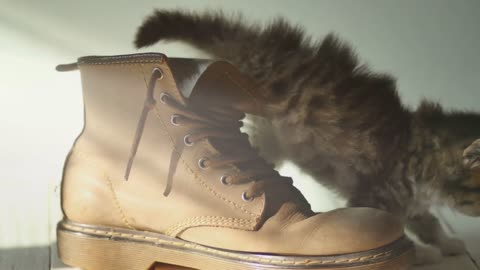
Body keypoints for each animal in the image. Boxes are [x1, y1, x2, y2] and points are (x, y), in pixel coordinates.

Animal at [133, 10, 480, 264]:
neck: (418, 153)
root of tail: (259, 47)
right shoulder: (375, 192)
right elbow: (395, 226)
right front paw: (421, 253)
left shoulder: (411, 200)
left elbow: (428, 222)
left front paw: (448, 243)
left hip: (267, 133)